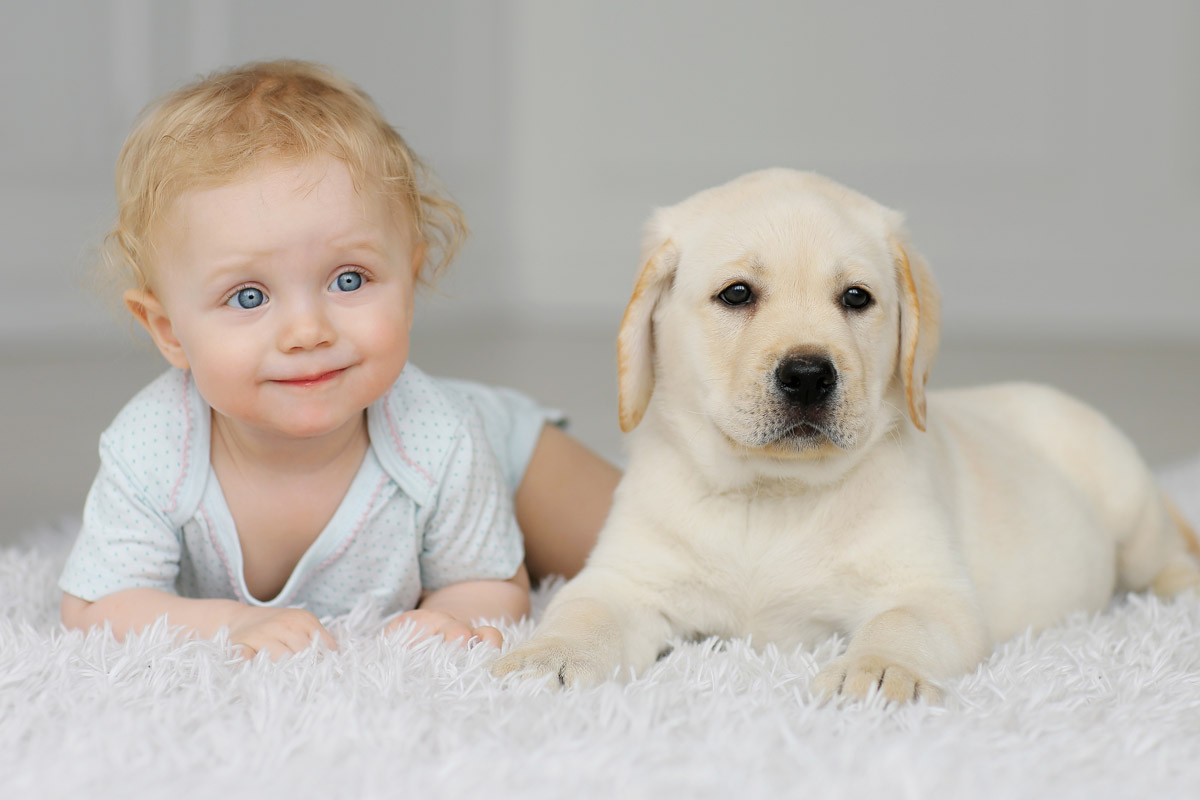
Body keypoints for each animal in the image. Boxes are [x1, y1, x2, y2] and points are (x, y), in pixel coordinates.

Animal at [489, 167, 1200, 700]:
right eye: (737, 294)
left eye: (856, 298)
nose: (808, 375)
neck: (771, 494)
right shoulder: (626, 578)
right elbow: (583, 612)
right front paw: (544, 658)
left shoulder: (930, 591)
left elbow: (901, 625)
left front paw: (878, 672)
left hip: (1126, 497)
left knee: (1166, 554)